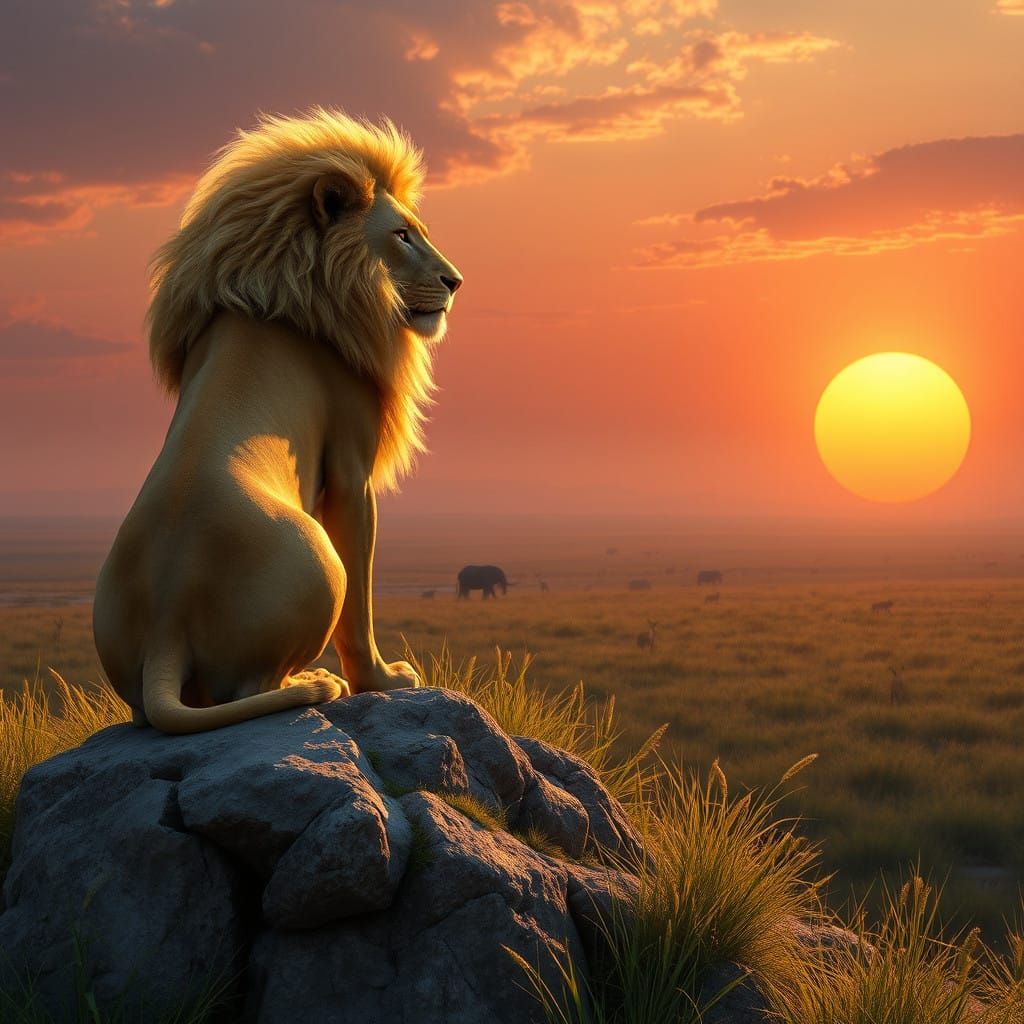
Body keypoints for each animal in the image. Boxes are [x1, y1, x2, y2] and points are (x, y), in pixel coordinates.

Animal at [92, 108, 463, 734]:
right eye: (402, 235)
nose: (455, 281)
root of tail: (167, 624)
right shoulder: (352, 473)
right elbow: (361, 609)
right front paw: (383, 681)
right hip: (321, 563)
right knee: (253, 686)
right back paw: (318, 683)